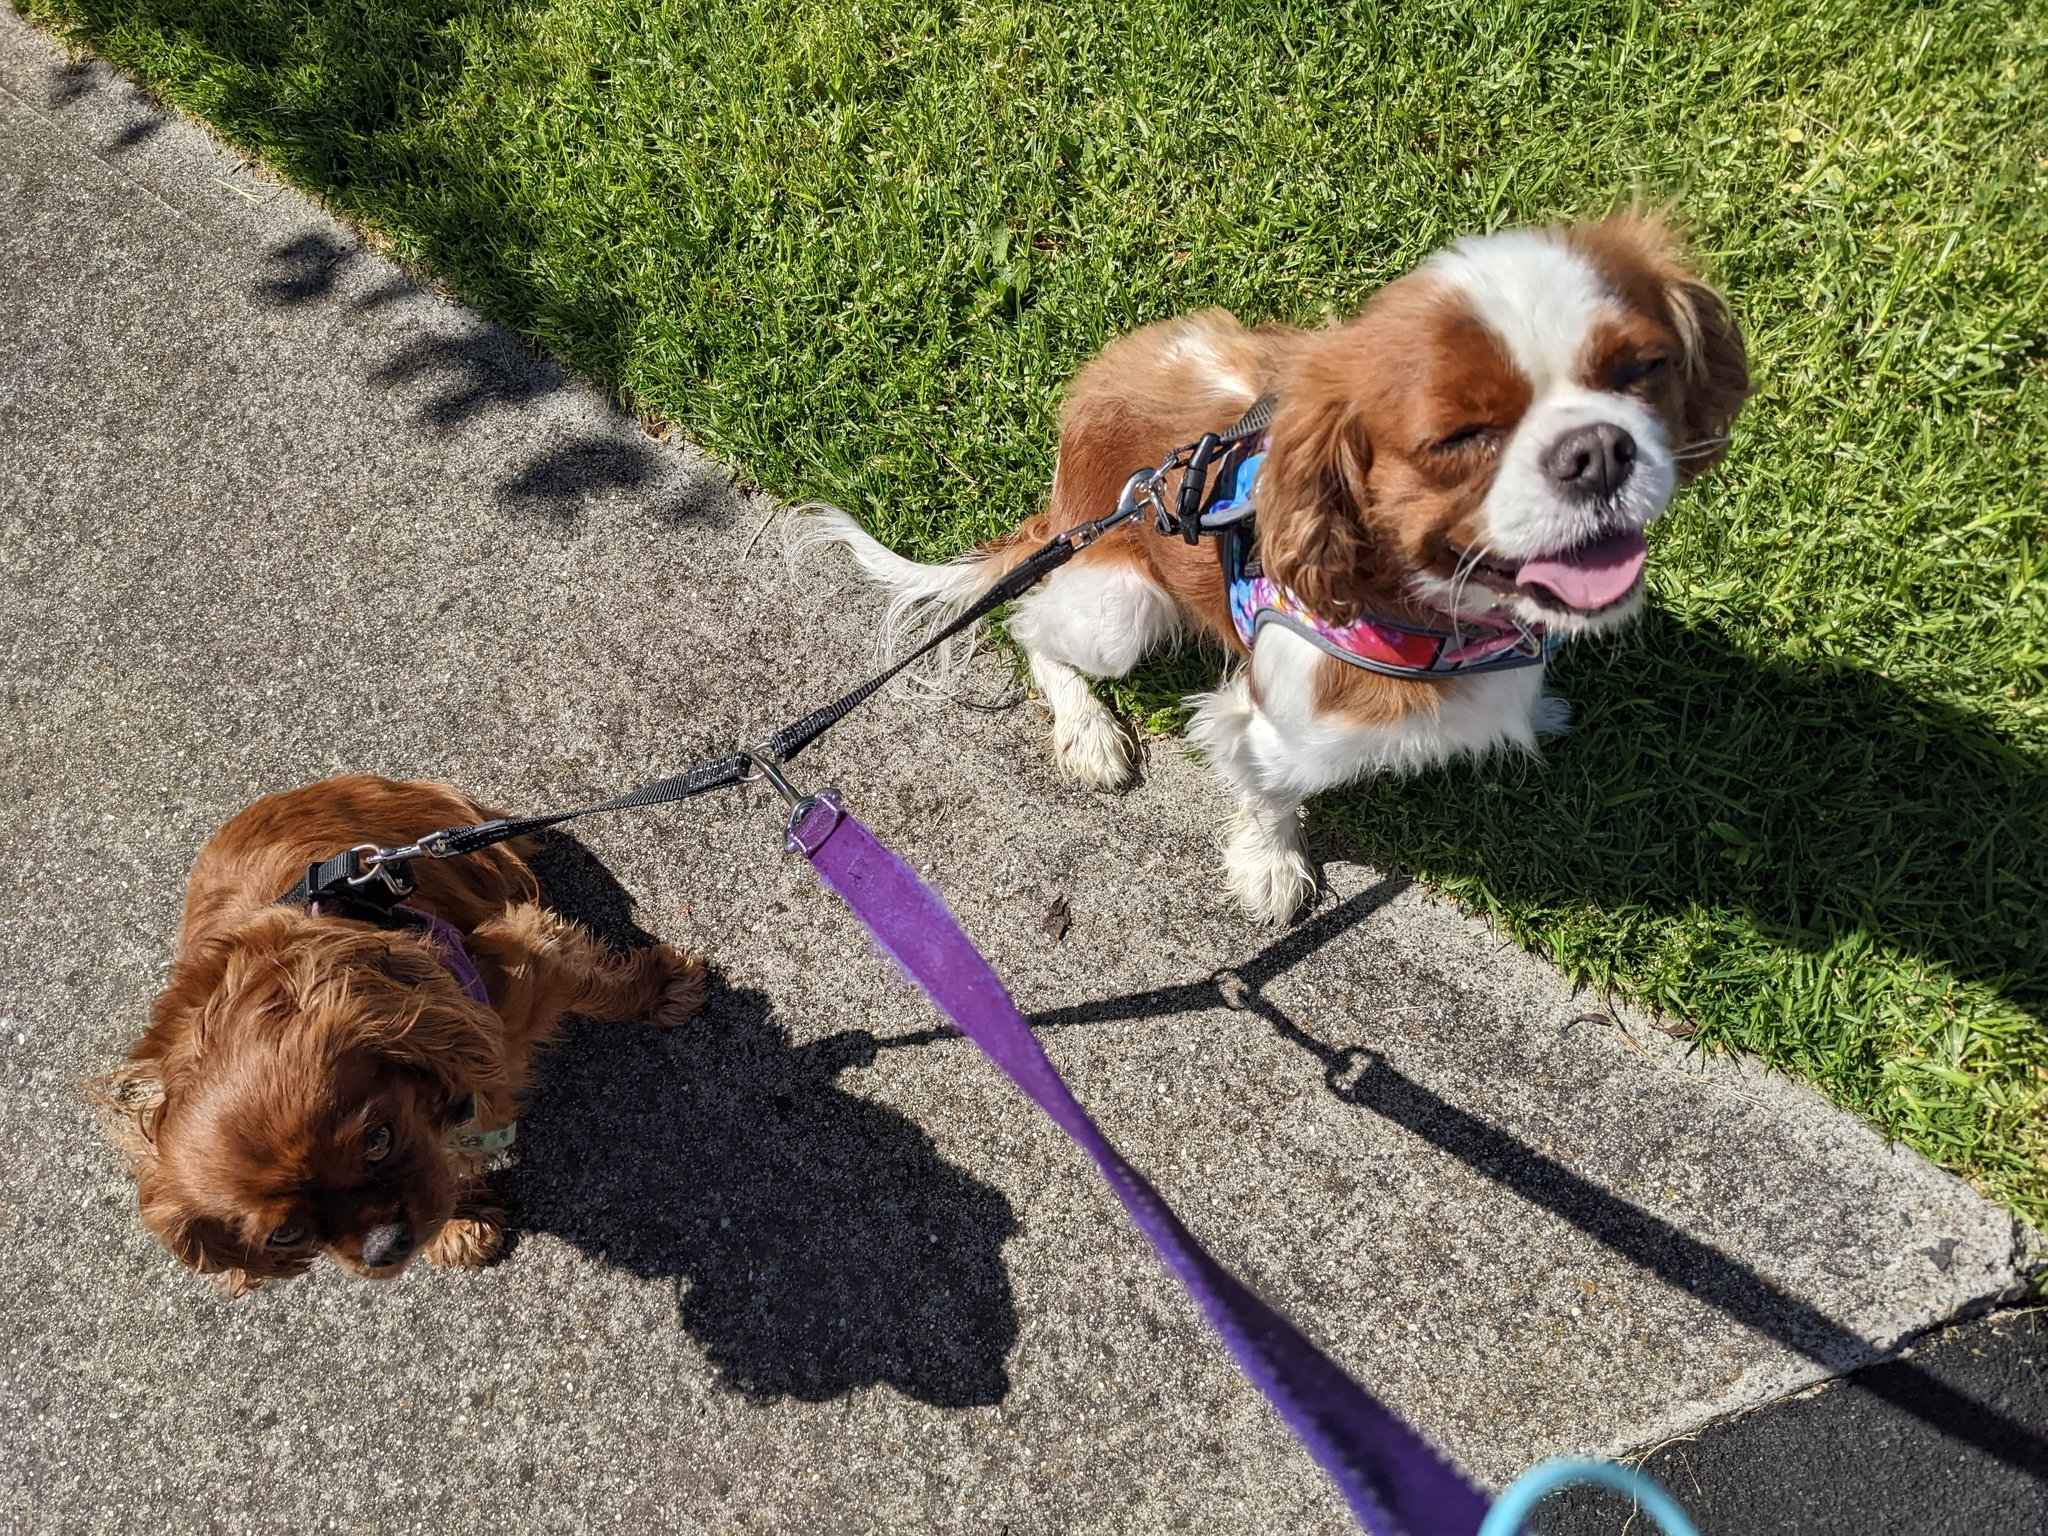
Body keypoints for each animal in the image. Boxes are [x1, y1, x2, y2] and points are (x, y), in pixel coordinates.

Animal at [108, 774, 708, 1294]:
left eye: (379, 1140)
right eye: (285, 1234)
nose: (384, 1246)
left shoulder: (521, 961)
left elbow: (597, 986)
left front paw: (661, 990)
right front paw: (460, 1223)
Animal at [806, 210, 1753, 921]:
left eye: (1640, 369)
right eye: (1457, 438)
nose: (1597, 451)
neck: (1447, 619)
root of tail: (1071, 487)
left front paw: (1544, 707)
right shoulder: (1266, 724)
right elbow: (1273, 795)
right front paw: (1271, 867)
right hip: (1121, 606)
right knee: (1030, 622)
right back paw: (1088, 729)